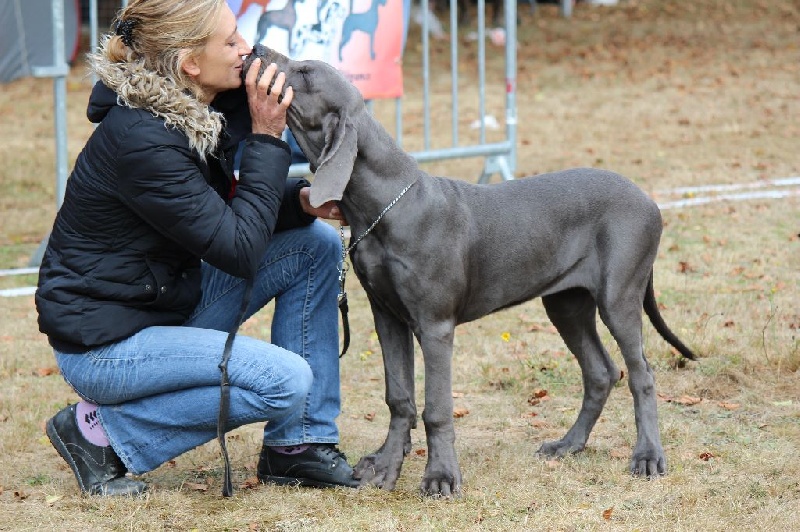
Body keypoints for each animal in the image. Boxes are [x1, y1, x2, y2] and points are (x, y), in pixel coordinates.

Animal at [242, 43, 692, 496]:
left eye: (305, 72)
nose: (256, 48)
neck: (386, 205)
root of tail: (649, 199)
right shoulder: (388, 316)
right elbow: (399, 397)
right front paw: (386, 466)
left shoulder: (435, 326)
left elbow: (436, 408)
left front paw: (440, 476)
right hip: (566, 303)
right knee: (600, 372)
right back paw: (568, 444)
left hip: (618, 297)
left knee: (641, 373)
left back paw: (648, 456)